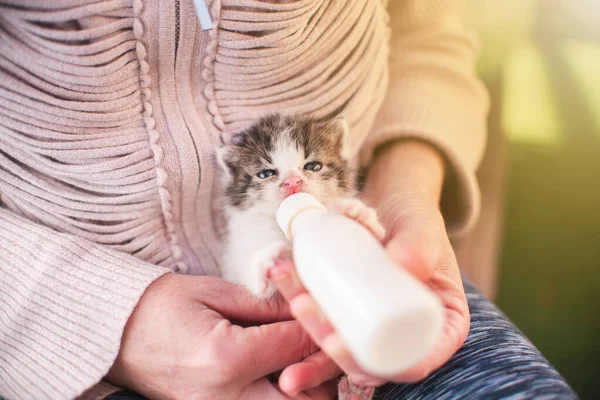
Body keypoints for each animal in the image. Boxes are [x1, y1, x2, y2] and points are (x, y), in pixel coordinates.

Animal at [216, 115, 384, 400]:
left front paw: (357, 215)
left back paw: (356, 390)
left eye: (312, 166)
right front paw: (269, 258)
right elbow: (258, 285)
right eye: (266, 173)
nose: (293, 182)